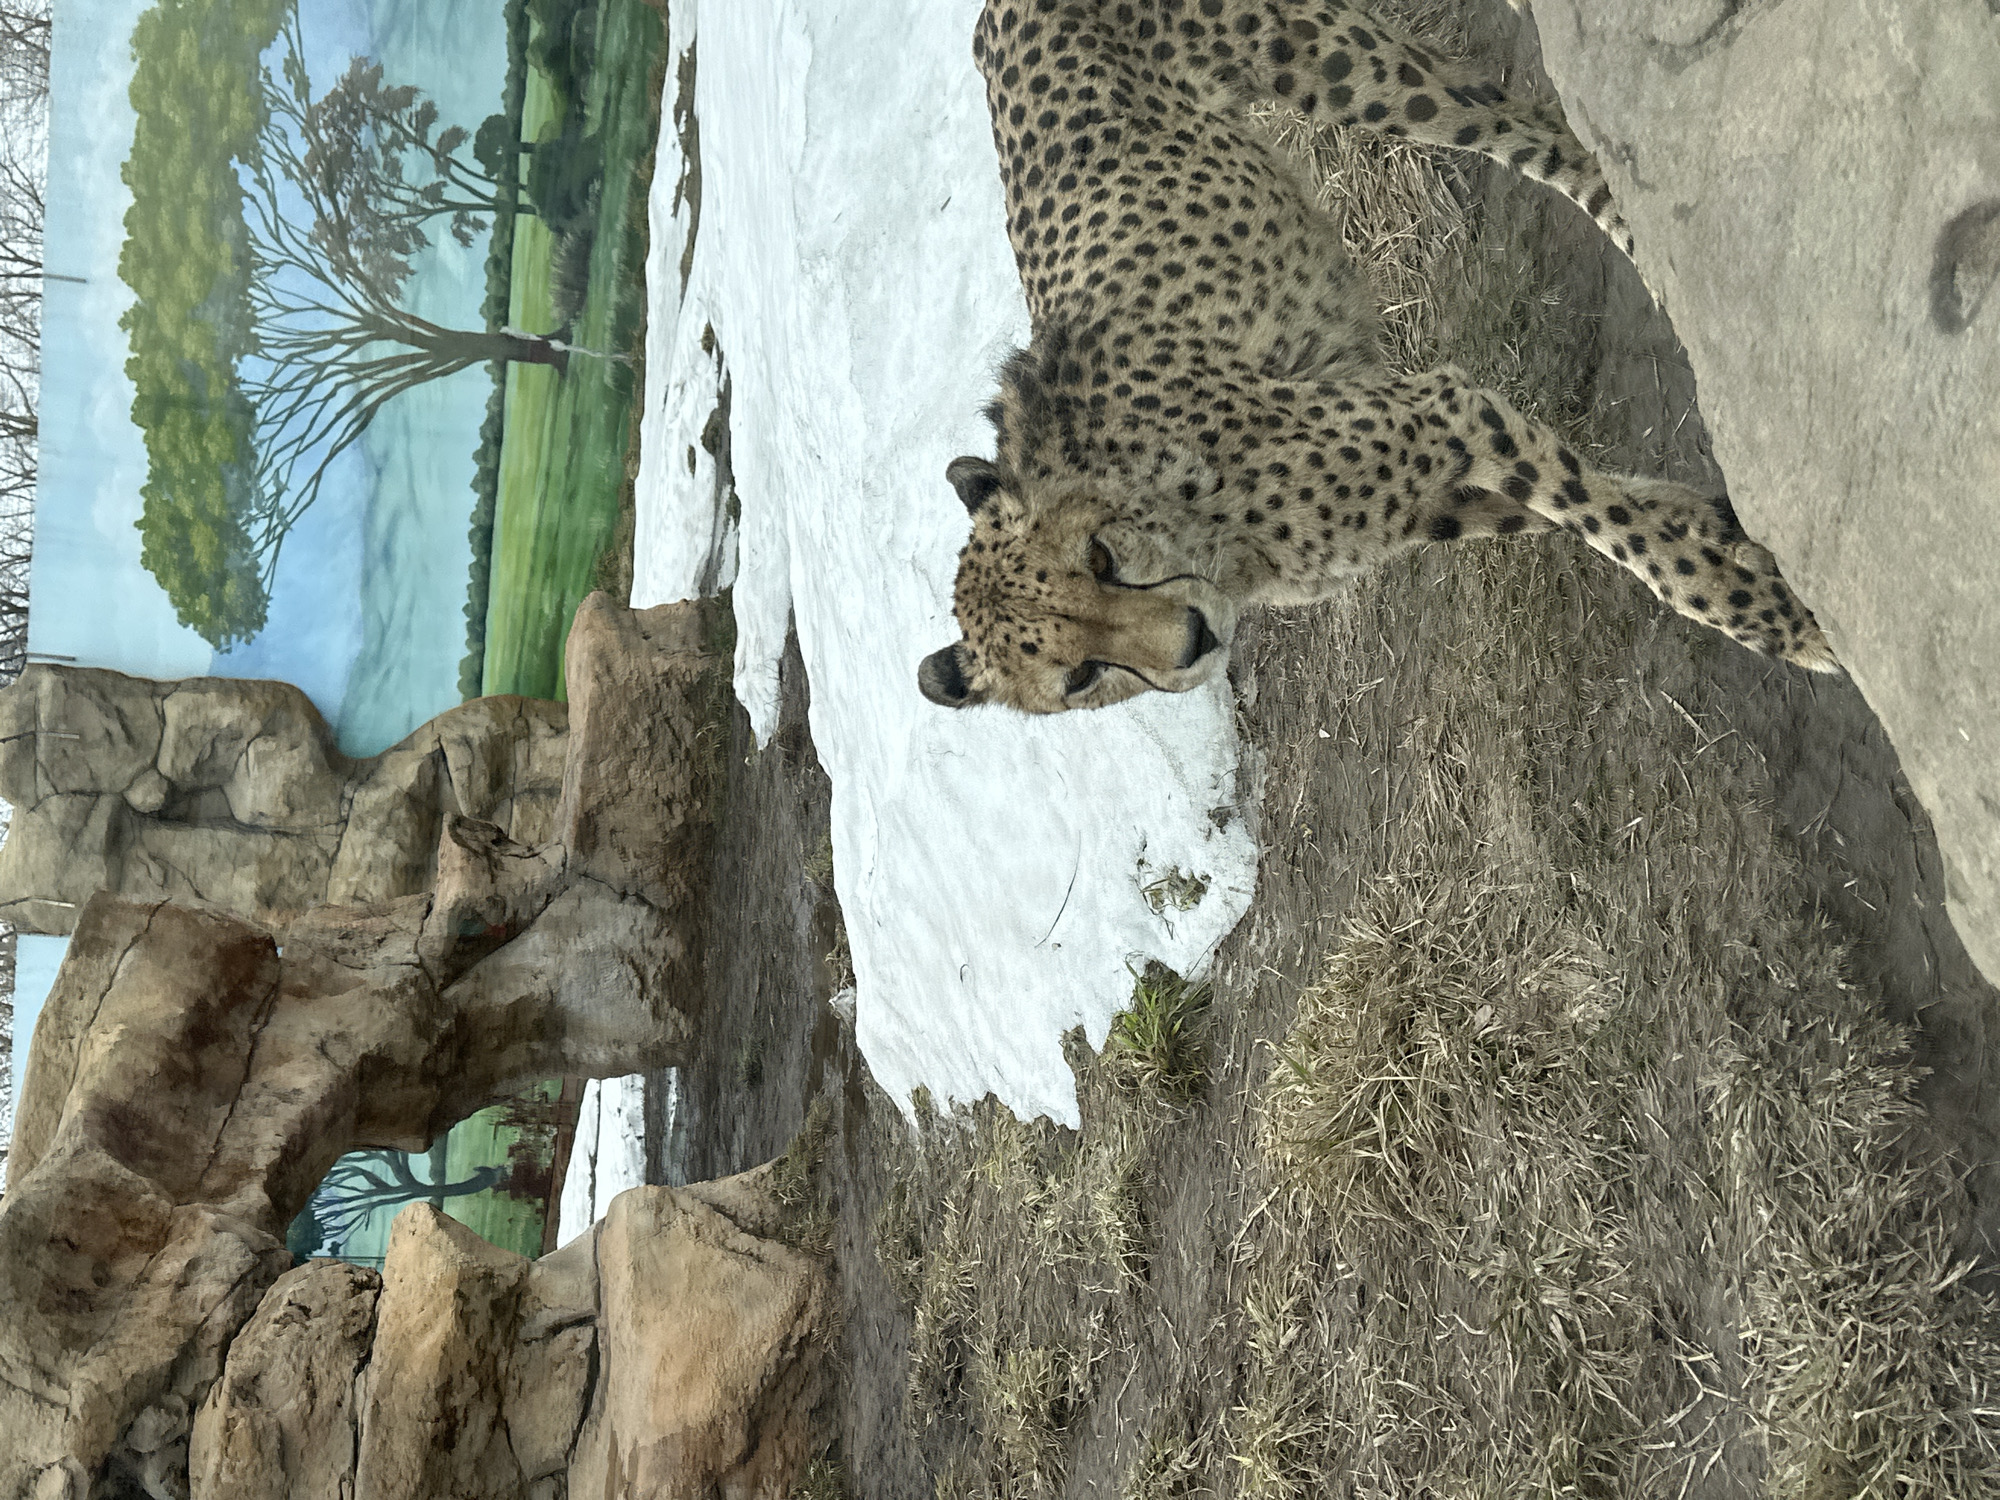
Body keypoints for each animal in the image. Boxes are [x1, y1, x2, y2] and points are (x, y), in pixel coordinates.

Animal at [918, 0, 1837, 715]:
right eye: (1075, 676)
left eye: (1100, 560)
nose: (1191, 640)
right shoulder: (1429, 495)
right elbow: (1585, 505)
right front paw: (1722, 532)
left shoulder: (1444, 408)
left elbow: (1615, 533)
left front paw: (1770, 619)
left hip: (1341, 69)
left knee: (1533, 131)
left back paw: (1655, 246)